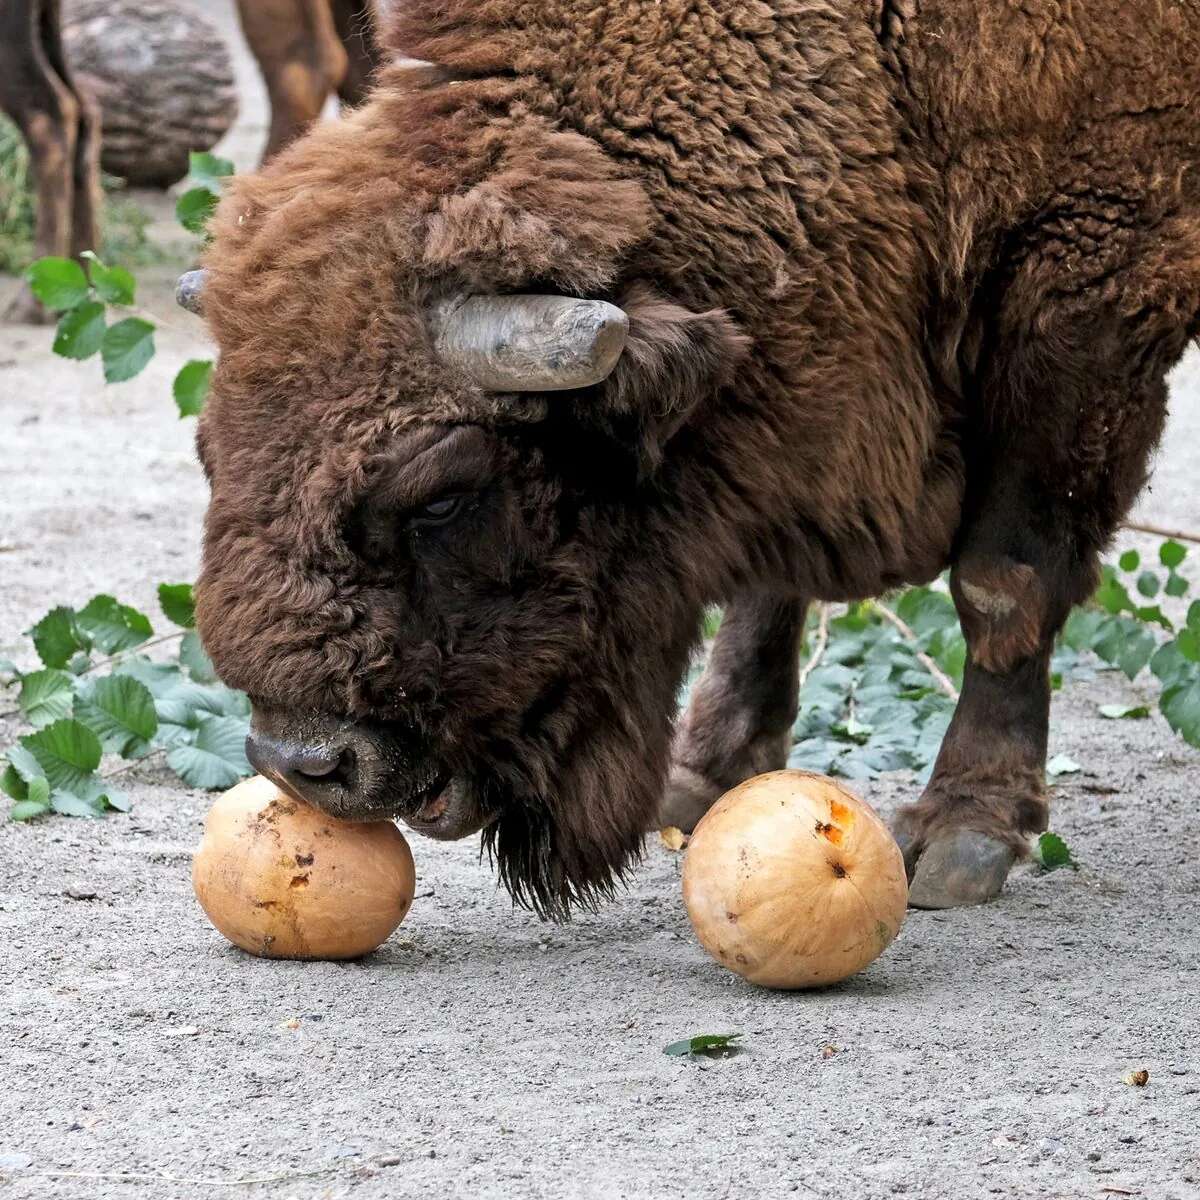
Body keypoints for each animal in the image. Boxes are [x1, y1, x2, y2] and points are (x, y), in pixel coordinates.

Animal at [182, 2, 1200, 916]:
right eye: (208, 453)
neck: (882, 57)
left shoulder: (1089, 279)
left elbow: (1003, 580)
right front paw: (704, 777)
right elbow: (766, 579)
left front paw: (964, 833)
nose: (308, 764)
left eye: (441, 498)